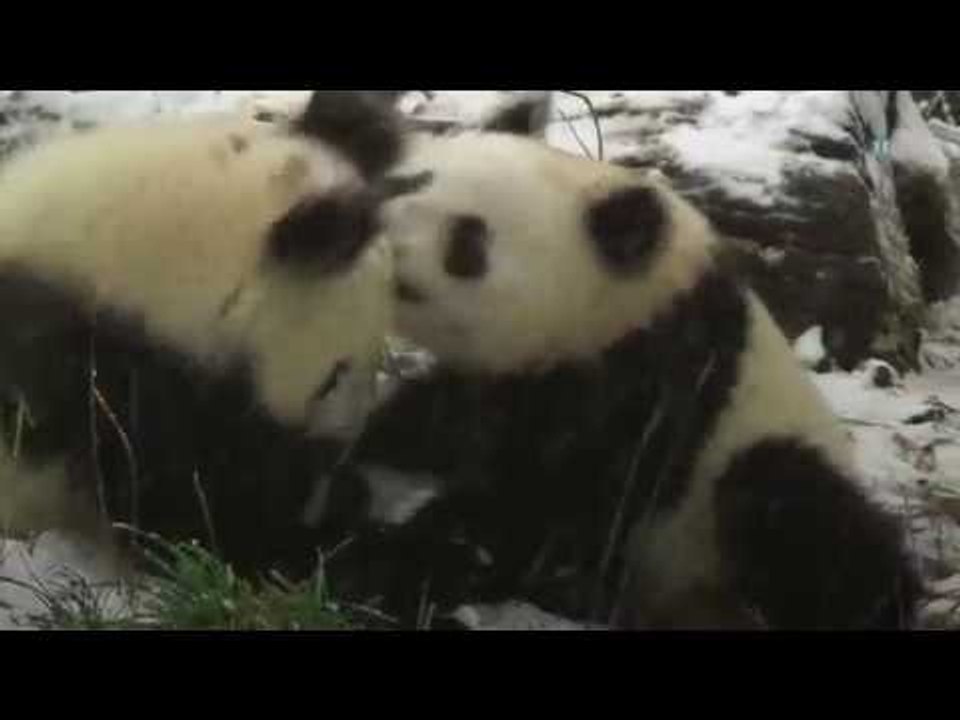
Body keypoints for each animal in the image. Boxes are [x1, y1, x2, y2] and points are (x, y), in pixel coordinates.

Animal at [338, 92, 922, 630]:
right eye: (410, 182)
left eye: (469, 238)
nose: (383, 242)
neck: (625, 303)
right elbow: (433, 419)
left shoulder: (655, 382)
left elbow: (546, 510)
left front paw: (396, 565)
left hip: (738, 494)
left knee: (798, 509)